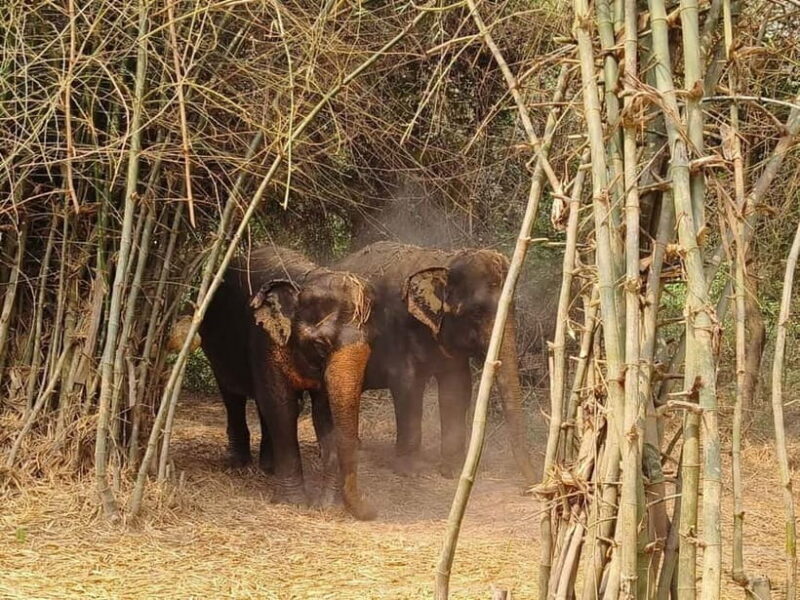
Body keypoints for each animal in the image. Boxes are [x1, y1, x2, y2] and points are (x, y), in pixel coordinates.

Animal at [198, 245, 376, 520]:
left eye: (370, 344)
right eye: (321, 345)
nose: (373, 510)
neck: (305, 280)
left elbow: (323, 413)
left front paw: (328, 507)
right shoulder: (264, 339)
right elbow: (281, 406)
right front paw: (294, 504)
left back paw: (268, 467)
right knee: (233, 395)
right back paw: (240, 465)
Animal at [333, 241, 537, 485]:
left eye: (513, 308)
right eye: (476, 313)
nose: (532, 485)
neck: (444, 263)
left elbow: (456, 389)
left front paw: (453, 471)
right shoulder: (396, 330)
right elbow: (408, 387)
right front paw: (410, 472)